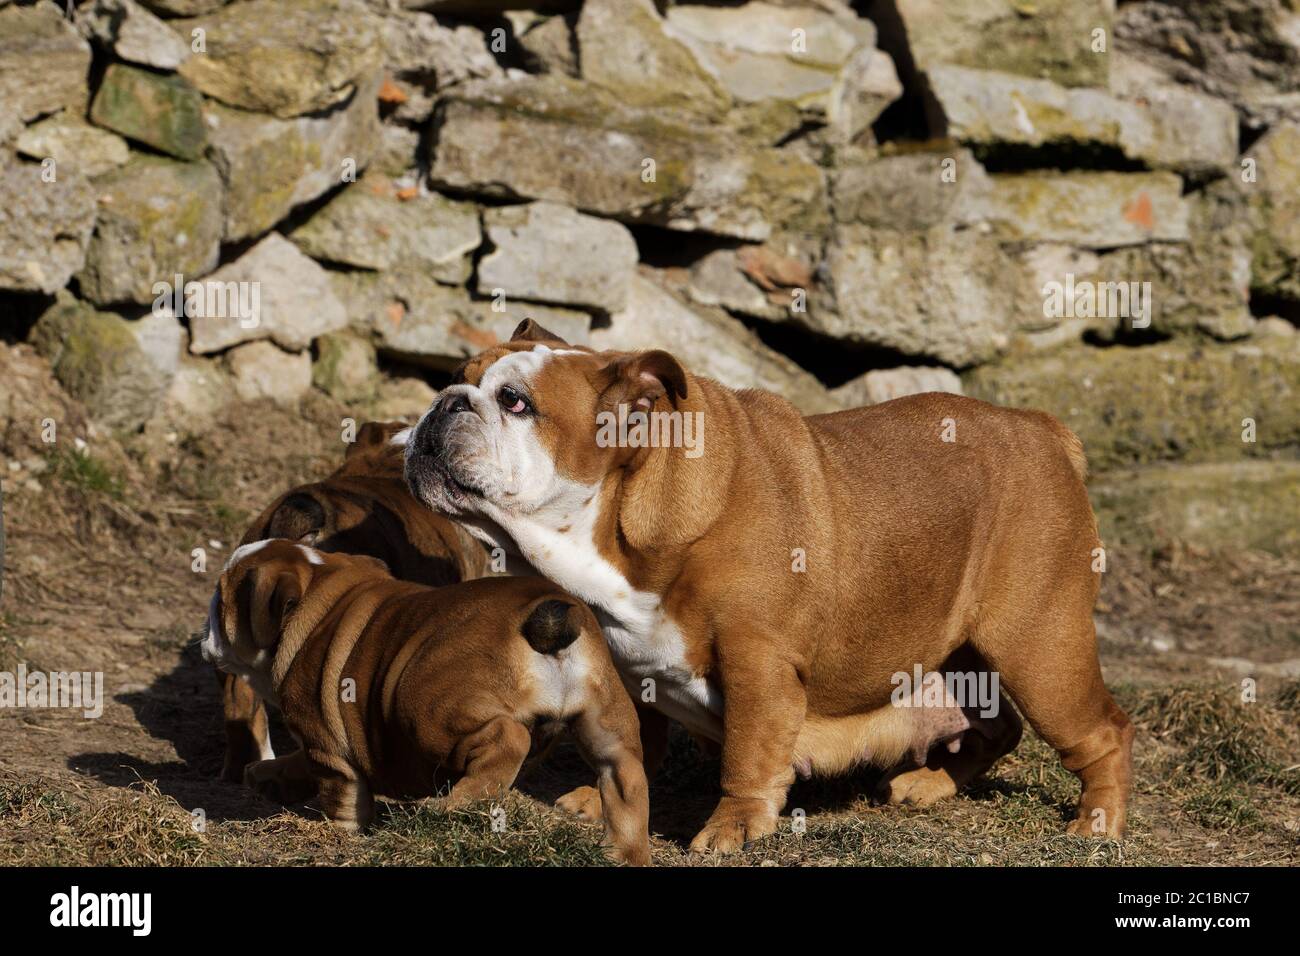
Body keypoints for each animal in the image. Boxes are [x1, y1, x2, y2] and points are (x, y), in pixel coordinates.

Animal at [201, 538, 650, 868]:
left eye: (220, 601)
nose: (205, 627)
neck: (319, 590)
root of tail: (548, 614)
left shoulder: (323, 743)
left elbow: (339, 791)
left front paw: (340, 833)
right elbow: (297, 764)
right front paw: (266, 775)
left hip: (424, 708)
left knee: (507, 738)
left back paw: (453, 806)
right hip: (606, 723)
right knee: (624, 779)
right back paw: (624, 854)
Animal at [400, 319, 1133, 853]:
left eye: (515, 402)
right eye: (457, 378)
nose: (445, 402)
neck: (618, 523)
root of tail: (1042, 427)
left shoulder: (758, 659)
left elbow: (748, 753)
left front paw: (732, 827)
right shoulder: (626, 663)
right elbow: (633, 738)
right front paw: (598, 797)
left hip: (1039, 648)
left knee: (1103, 731)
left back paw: (1095, 822)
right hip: (961, 658)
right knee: (996, 726)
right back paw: (927, 783)